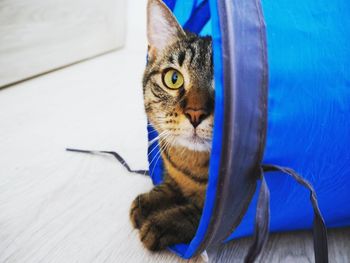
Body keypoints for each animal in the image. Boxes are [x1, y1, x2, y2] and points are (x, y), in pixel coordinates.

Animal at [130, 0, 215, 252]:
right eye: (173, 79)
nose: (195, 113)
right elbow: (170, 184)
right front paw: (148, 201)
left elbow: (200, 215)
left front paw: (163, 222)